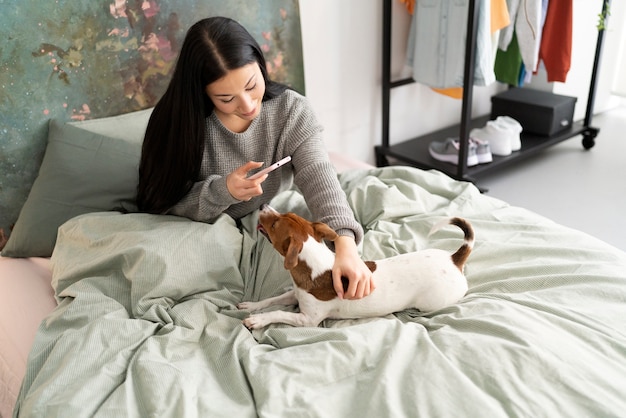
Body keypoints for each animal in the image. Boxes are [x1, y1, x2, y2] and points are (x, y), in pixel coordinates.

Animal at [236, 206, 470, 330]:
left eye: (275, 224)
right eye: (283, 214)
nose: (263, 205)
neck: (315, 265)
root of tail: (454, 259)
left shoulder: (307, 320)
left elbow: (278, 312)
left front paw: (258, 319)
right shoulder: (296, 294)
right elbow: (272, 300)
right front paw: (252, 306)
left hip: (432, 303)